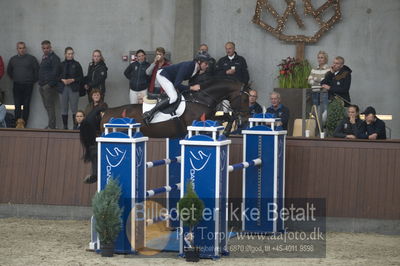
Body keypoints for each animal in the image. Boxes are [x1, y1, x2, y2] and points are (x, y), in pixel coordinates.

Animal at [79, 78, 248, 184]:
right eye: (243, 98)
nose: (246, 119)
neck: (201, 98)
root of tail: (106, 111)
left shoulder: (211, 116)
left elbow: (227, 116)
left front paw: (227, 130)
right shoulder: (199, 123)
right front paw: (226, 131)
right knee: (94, 150)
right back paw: (92, 177)